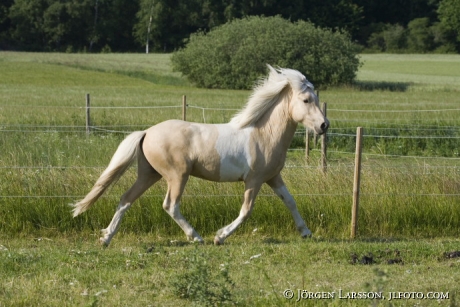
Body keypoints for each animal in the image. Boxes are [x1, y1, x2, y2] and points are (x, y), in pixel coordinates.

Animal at [73, 65, 328, 245]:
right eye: (306, 100)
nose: (324, 126)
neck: (263, 134)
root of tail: (147, 132)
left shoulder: (273, 177)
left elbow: (290, 201)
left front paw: (306, 232)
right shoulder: (254, 180)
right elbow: (246, 211)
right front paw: (220, 236)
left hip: (149, 174)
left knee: (126, 199)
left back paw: (106, 238)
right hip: (177, 175)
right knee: (170, 205)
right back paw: (196, 236)